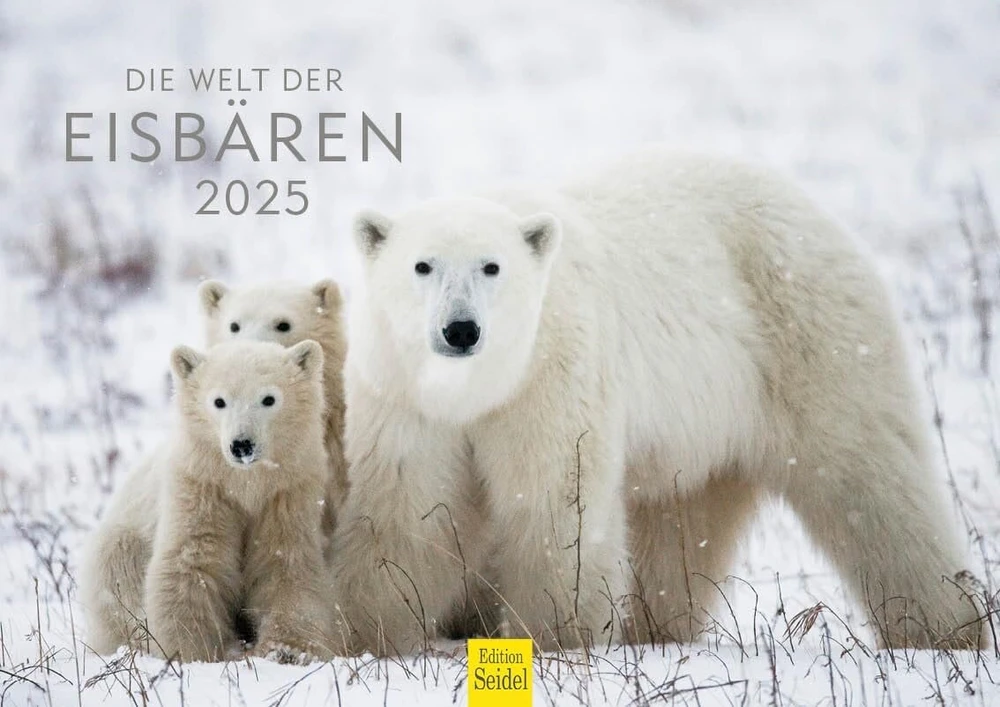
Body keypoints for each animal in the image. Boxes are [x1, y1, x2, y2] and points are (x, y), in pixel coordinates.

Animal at [80, 280, 347, 656]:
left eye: (269, 399)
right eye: (218, 401)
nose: (241, 445)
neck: (246, 482)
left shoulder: (286, 495)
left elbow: (284, 564)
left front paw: (286, 650)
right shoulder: (203, 488)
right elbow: (192, 562)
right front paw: (190, 651)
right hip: (120, 547)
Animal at [328, 149, 983, 655]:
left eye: (492, 267)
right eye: (422, 265)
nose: (461, 330)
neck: (479, 389)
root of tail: (812, 208)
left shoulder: (554, 373)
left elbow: (554, 503)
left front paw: (557, 640)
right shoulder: (403, 397)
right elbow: (403, 510)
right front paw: (363, 635)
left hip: (810, 334)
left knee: (871, 481)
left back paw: (943, 630)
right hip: (704, 424)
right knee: (681, 523)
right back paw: (654, 628)